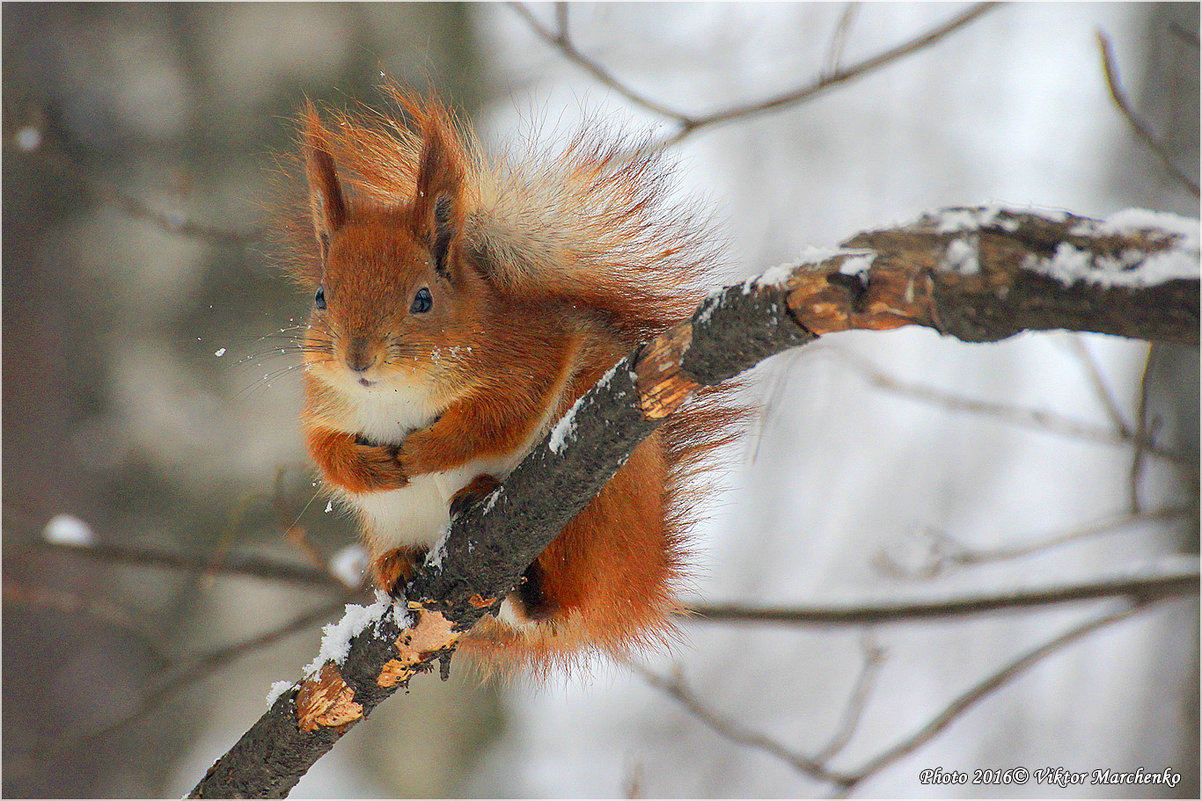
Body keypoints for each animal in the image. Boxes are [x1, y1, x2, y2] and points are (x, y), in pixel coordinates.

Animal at [280, 87, 740, 668]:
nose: (358, 360)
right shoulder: (325, 403)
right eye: (321, 296)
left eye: (423, 299)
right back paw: (397, 565)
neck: (395, 394)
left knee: (560, 595)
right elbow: (323, 452)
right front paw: (373, 468)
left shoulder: (526, 356)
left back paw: (493, 521)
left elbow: (498, 416)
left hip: (593, 510)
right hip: (391, 521)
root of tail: (638, 584)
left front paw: (423, 452)